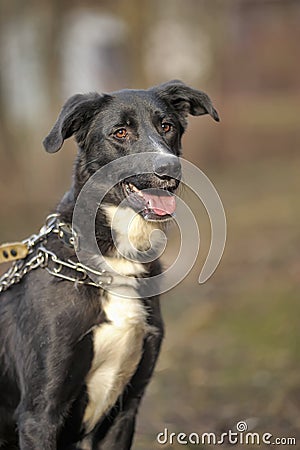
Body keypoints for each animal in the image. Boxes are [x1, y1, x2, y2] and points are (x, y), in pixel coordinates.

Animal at [0, 81, 219, 450]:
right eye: (120, 132)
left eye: (167, 126)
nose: (169, 169)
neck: (113, 263)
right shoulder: (38, 415)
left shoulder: (125, 410)